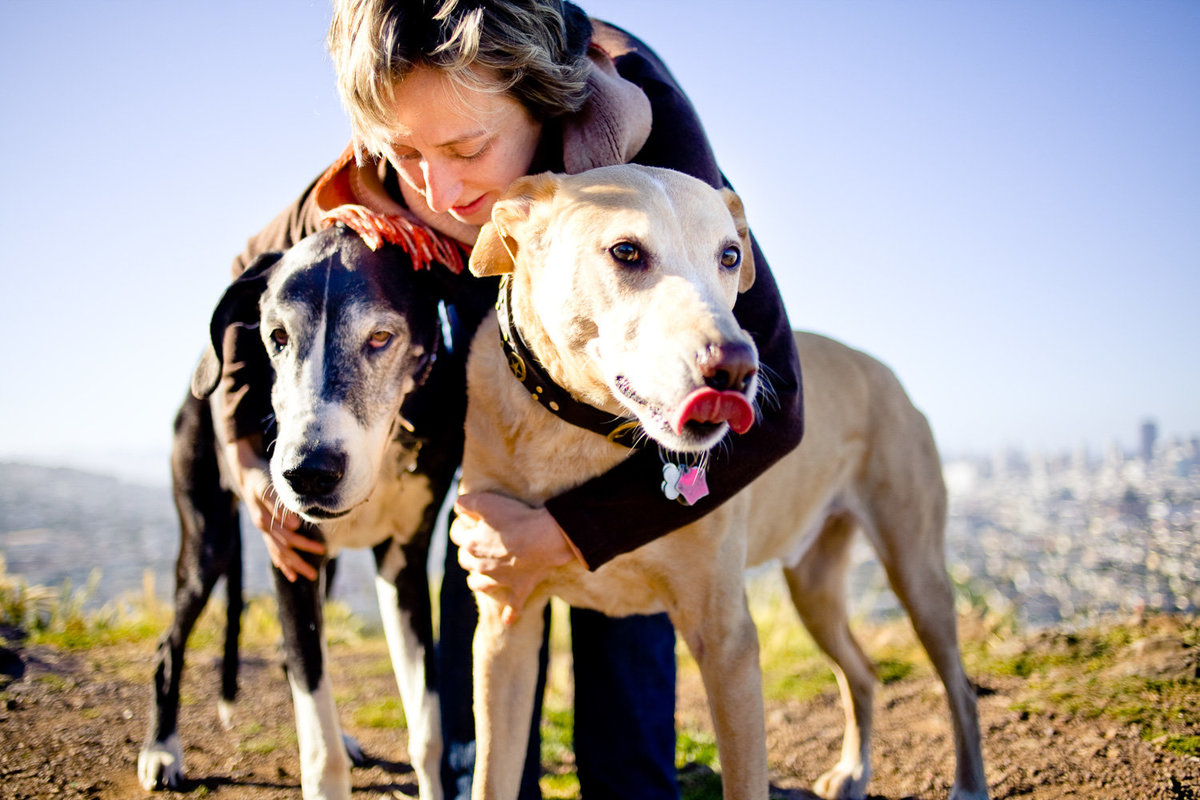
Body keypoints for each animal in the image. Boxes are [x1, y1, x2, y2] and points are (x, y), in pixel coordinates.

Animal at [138, 225, 460, 800]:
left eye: (381, 337)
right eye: (278, 337)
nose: (308, 473)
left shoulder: (404, 563)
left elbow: (427, 729)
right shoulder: (291, 557)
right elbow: (319, 746)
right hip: (207, 543)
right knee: (168, 647)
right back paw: (161, 750)